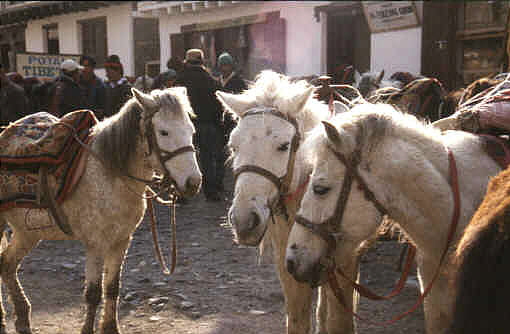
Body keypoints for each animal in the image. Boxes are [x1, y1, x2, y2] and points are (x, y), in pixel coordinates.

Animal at [0, 88, 202, 334]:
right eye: (163, 132)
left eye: (191, 130)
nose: (193, 183)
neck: (110, 174)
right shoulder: (95, 243)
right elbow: (94, 293)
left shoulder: (122, 240)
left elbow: (113, 287)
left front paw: (111, 327)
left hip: (28, 232)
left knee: (7, 264)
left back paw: (22, 319)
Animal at [215, 72, 358, 334]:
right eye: (233, 146)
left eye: (283, 146)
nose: (243, 220)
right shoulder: (288, 261)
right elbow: (298, 318)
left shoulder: (347, 262)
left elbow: (340, 320)